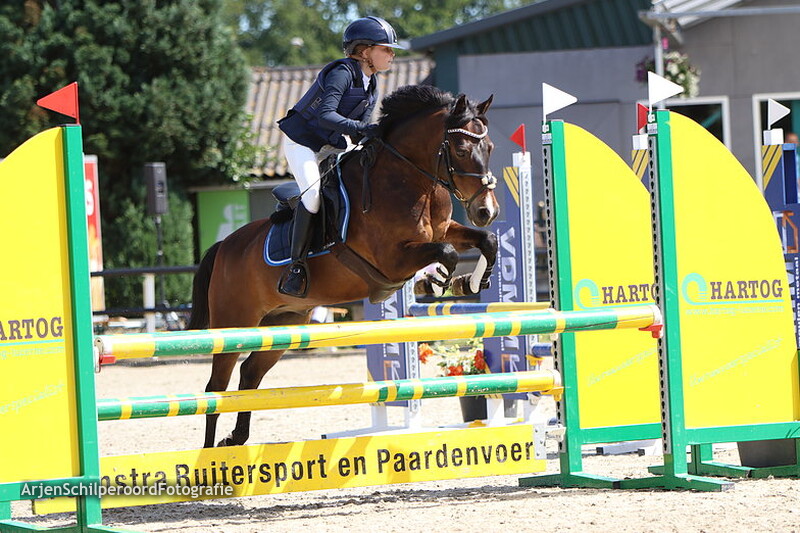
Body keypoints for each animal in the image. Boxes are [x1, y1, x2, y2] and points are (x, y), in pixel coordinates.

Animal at [188, 85, 500, 448]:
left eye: (489, 147)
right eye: (461, 149)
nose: (486, 210)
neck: (408, 180)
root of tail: (225, 246)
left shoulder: (444, 230)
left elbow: (486, 240)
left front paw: (472, 282)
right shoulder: (392, 260)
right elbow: (447, 253)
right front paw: (435, 281)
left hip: (285, 320)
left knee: (250, 374)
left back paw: (235, 439)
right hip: (234, 323)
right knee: (216, 388)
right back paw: (210, 454)